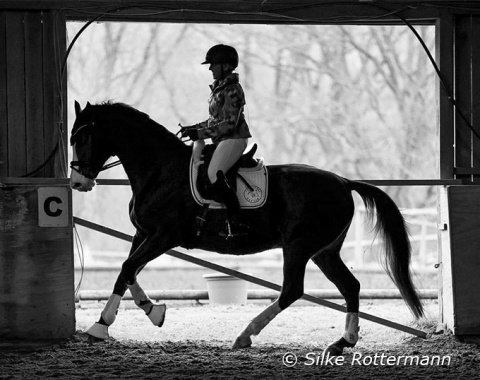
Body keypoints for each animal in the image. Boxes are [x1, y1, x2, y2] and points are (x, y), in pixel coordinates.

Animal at [69, 100, 422, 354]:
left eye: (83, 136)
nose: (77, 182)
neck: (161, 170)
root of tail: (343, 181)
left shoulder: (163, 236)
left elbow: (128, 268)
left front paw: (101, 326)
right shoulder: (143, 234)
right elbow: (127, 273)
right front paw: (153, 311)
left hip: (299, 246)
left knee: (293, 290)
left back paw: (245, 335)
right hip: (325, 251)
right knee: (350, 287)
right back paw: (342, 342)